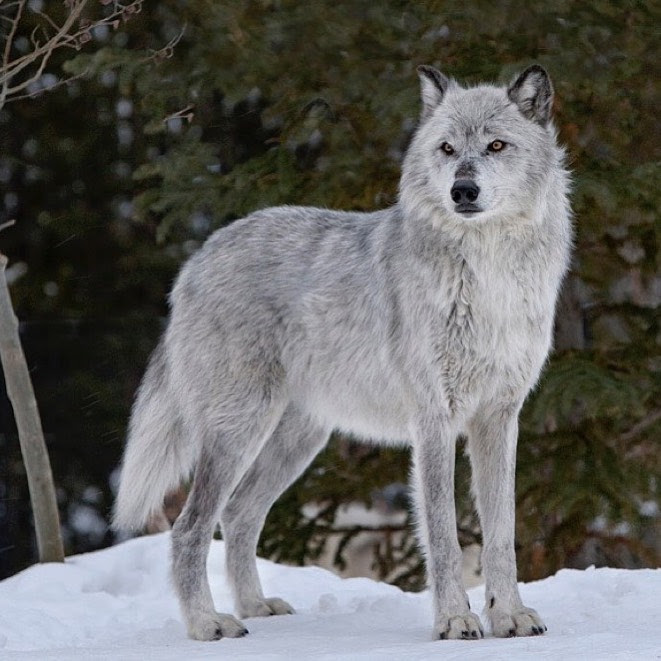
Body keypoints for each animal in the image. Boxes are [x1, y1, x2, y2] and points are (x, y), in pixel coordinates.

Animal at [113, 65, 572, 640]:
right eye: (446, 148)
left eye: (496, 145)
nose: (462, 190)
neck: (487, 275)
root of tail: (196, 260)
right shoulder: (435, 421)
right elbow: (444, 536)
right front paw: (454, 622)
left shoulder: (500, 418)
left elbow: (502, 534)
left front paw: (508, 616)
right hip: (239, 432)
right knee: (190, 526)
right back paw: (208, 625)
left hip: (296, 441)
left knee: (237, 516)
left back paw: (255, 608)